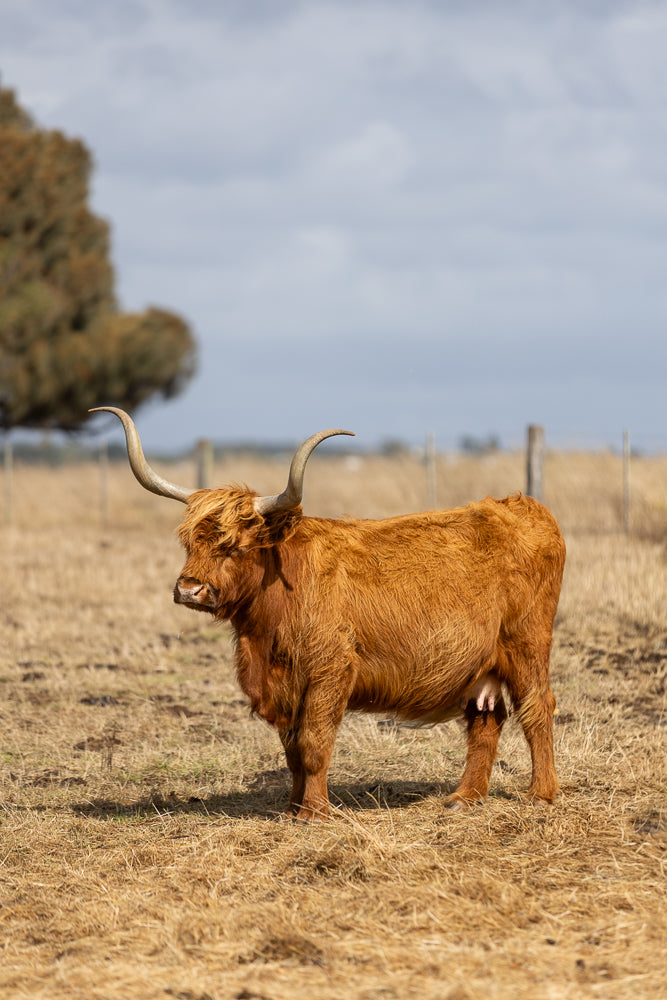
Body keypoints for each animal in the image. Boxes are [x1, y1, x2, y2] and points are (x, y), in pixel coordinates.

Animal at [92, 406, 566, 821]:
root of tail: (521, 505)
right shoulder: (283, 684)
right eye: (189, 541)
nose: (189, 589)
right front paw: (293, 808)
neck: (265, 628)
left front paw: (315, 813)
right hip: (483, 667)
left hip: (527, 644)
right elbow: (292, 751)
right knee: (487, 720)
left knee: (537, 707)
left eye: (235, 546)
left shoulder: (329, 670)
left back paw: (540, 795)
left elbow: (314, 743)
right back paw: (464, 798)